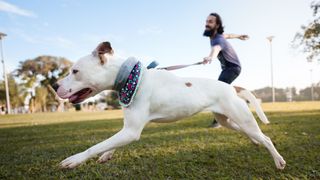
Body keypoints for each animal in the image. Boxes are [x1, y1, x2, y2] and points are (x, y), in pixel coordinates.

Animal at [53, 41, 286, 170]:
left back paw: (278, 161)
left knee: (266, 137)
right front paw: (106, 155)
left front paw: (75, 160)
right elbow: (110, 143)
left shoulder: (131, 131)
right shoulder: (128, 129)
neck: (130, 78)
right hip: (228, 120)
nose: (54, 85)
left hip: (242, 119)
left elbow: (97, 145)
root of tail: (232, 87)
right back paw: (254, 142)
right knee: (249, 133)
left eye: (75, 71)